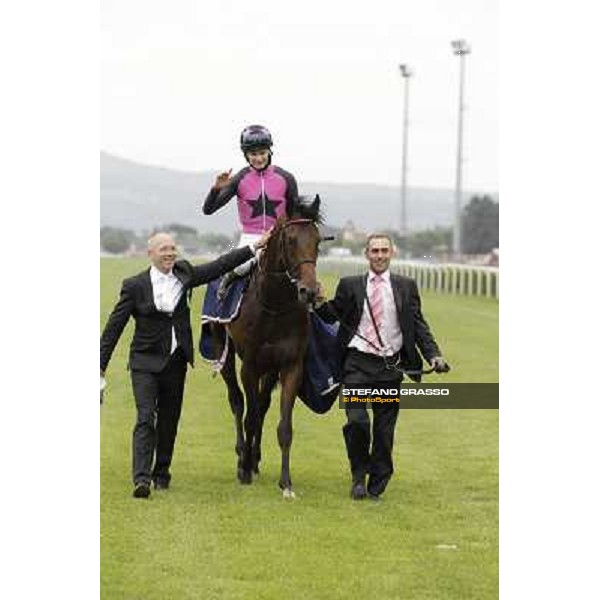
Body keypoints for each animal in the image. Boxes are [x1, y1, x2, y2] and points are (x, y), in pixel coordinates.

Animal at [211, 196, 324, 496]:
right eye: (291, 240)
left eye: (318, 241)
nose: (309, 291)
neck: (274, 305)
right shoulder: (249, 365)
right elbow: (248, 415)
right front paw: (244, 469)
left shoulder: (291, 365)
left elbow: (283, 426)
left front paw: (286, 482)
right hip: (223, 351)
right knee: (237, 402)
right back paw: (243, 455)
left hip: (270, 368)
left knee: (261, 405)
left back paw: (255, 457)